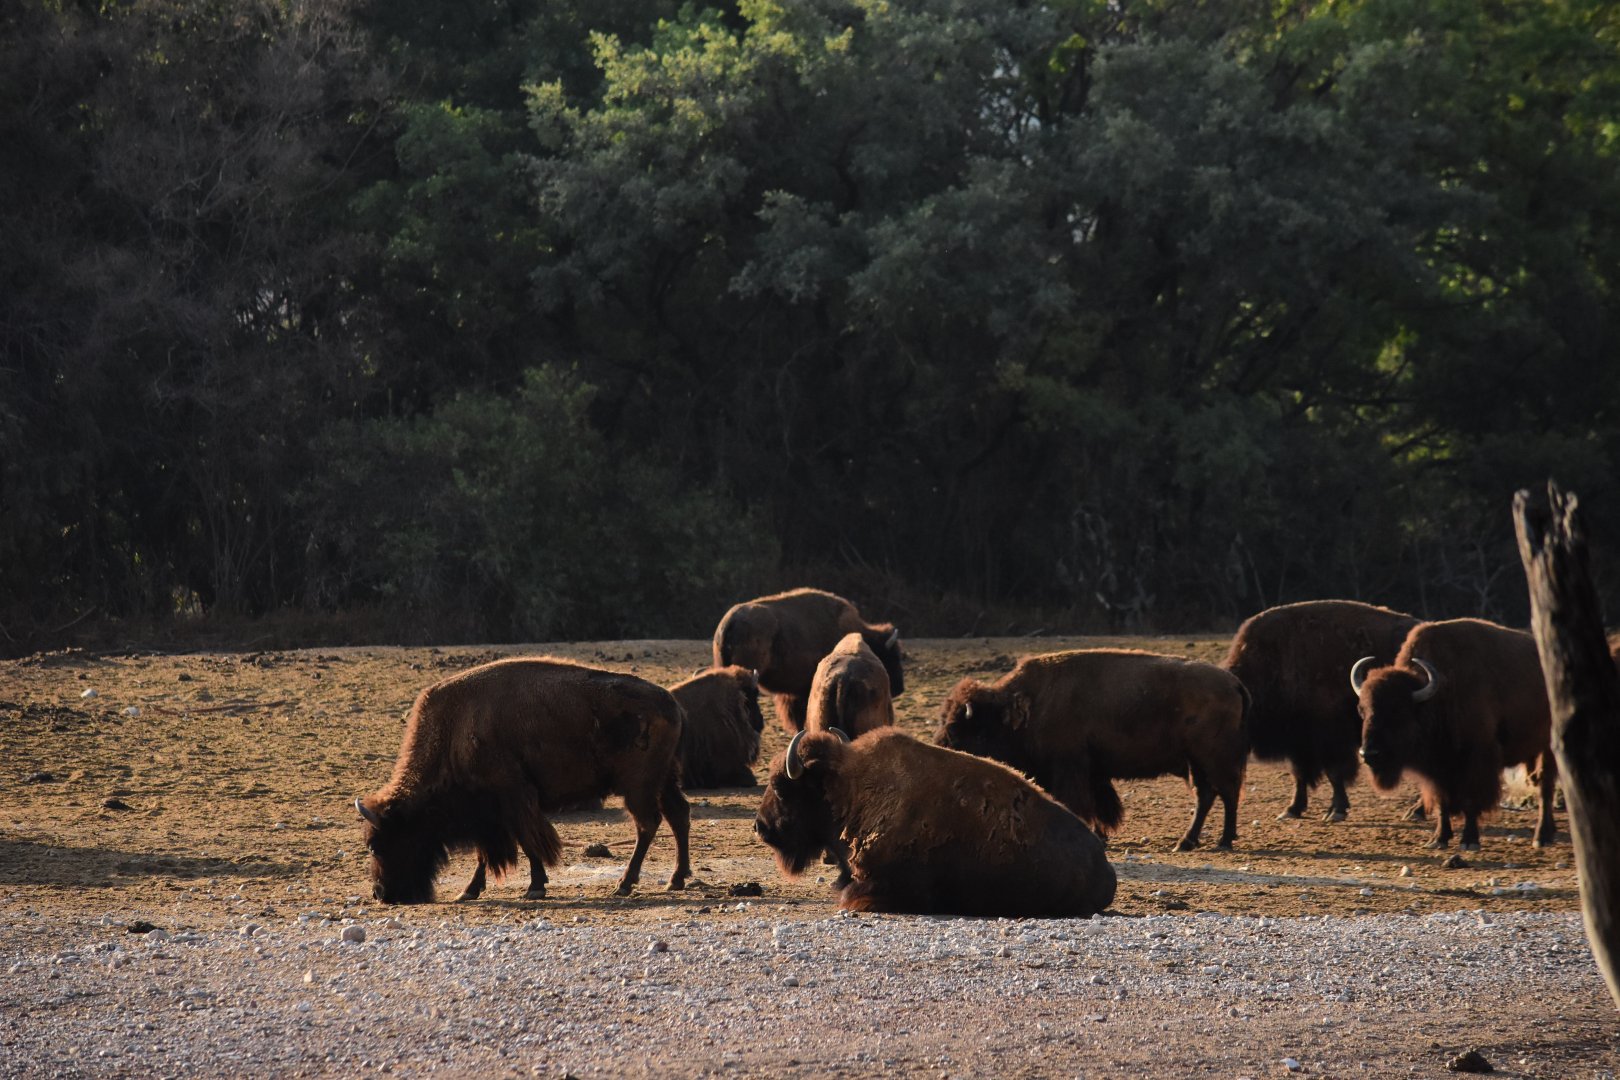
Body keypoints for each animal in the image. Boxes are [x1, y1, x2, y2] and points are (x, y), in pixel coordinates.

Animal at [355, 657, 691, 903]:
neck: (454, 731)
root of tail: (671, 703)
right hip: (663, 781)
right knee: (678, 815)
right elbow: (486, 854)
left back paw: (625, 884)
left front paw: (535, 887)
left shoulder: (512, 800)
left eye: (375, 845)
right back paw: (676, 879)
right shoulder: (490, 814)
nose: (381, 894)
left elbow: (528, 842)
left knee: (647, 823)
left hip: (638, 786)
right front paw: (469, 891)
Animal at [936, 649, 1250, 851]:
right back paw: (1186, 842)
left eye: (959, 729)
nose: (941, 748)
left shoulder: (1070, 767)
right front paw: (1101, 835)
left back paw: (1223, 841)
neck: (1028, 705)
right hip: (1196, 761)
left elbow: (1077, 801)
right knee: (1207, 795)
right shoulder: (1092, 771)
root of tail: (1233, 682)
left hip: (1214, 758)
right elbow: (1100, 805)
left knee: (1228, 793)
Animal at [1224, 600, 1419, 822]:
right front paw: (1292, 809)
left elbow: (1334, 773)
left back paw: (1415, 812)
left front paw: (1336, 811)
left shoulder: (1330, 741)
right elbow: (1300, 775)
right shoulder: (1300, 744)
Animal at [1352, 618, 1558, 850]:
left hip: (1549, 747)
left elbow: (1470, 801)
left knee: (1545, 786)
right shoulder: (1438, 770)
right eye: (1362, 710)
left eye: (1398, 711)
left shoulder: (1475, 760)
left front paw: (1469, 840)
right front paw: (1438, 839)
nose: (1368, 754)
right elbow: (1442, 801)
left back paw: (1542, 836)